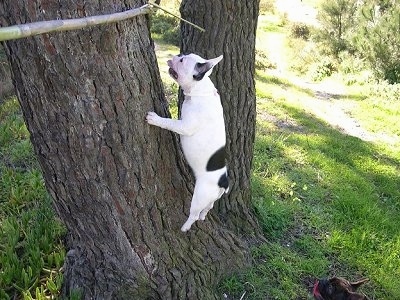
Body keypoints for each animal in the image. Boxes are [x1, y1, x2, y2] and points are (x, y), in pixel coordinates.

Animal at [146, 54, 228, 232]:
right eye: (182, 56)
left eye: (182, 61)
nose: (177, 55)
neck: (199, 91)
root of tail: (224, 181)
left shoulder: (185, 126)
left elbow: (170, 122)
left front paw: (156, 119)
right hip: (212, 197)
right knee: (209, 206)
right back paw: (204, 216)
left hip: (199, 195)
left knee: (194, 214)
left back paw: (185, 227)